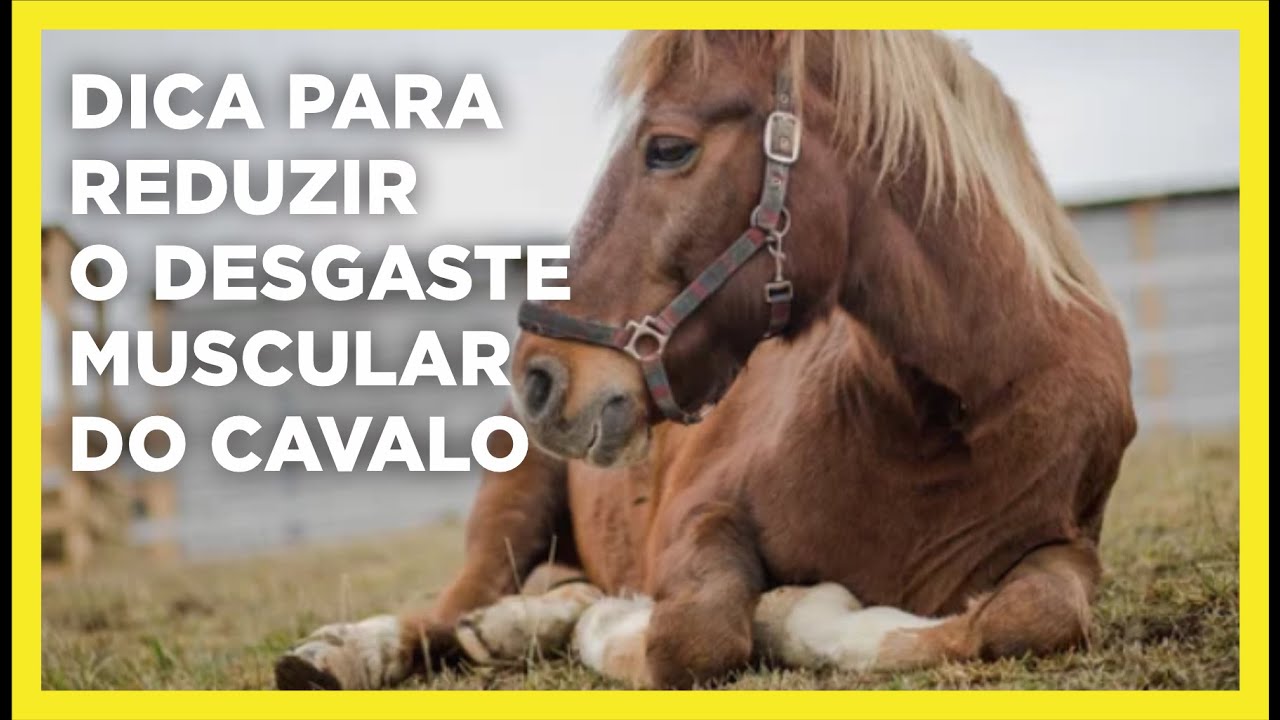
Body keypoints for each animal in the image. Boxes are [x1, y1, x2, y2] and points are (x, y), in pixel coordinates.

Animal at [275, 30, 1136, 690]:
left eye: (668, 149)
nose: (540, 377)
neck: (944, 414)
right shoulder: (698, 515)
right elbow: (694, 634)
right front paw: (684, 617)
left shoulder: (1069, 548)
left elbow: (1030, 617)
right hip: (509, 506)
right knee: (448, 606)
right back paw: (348, 652)